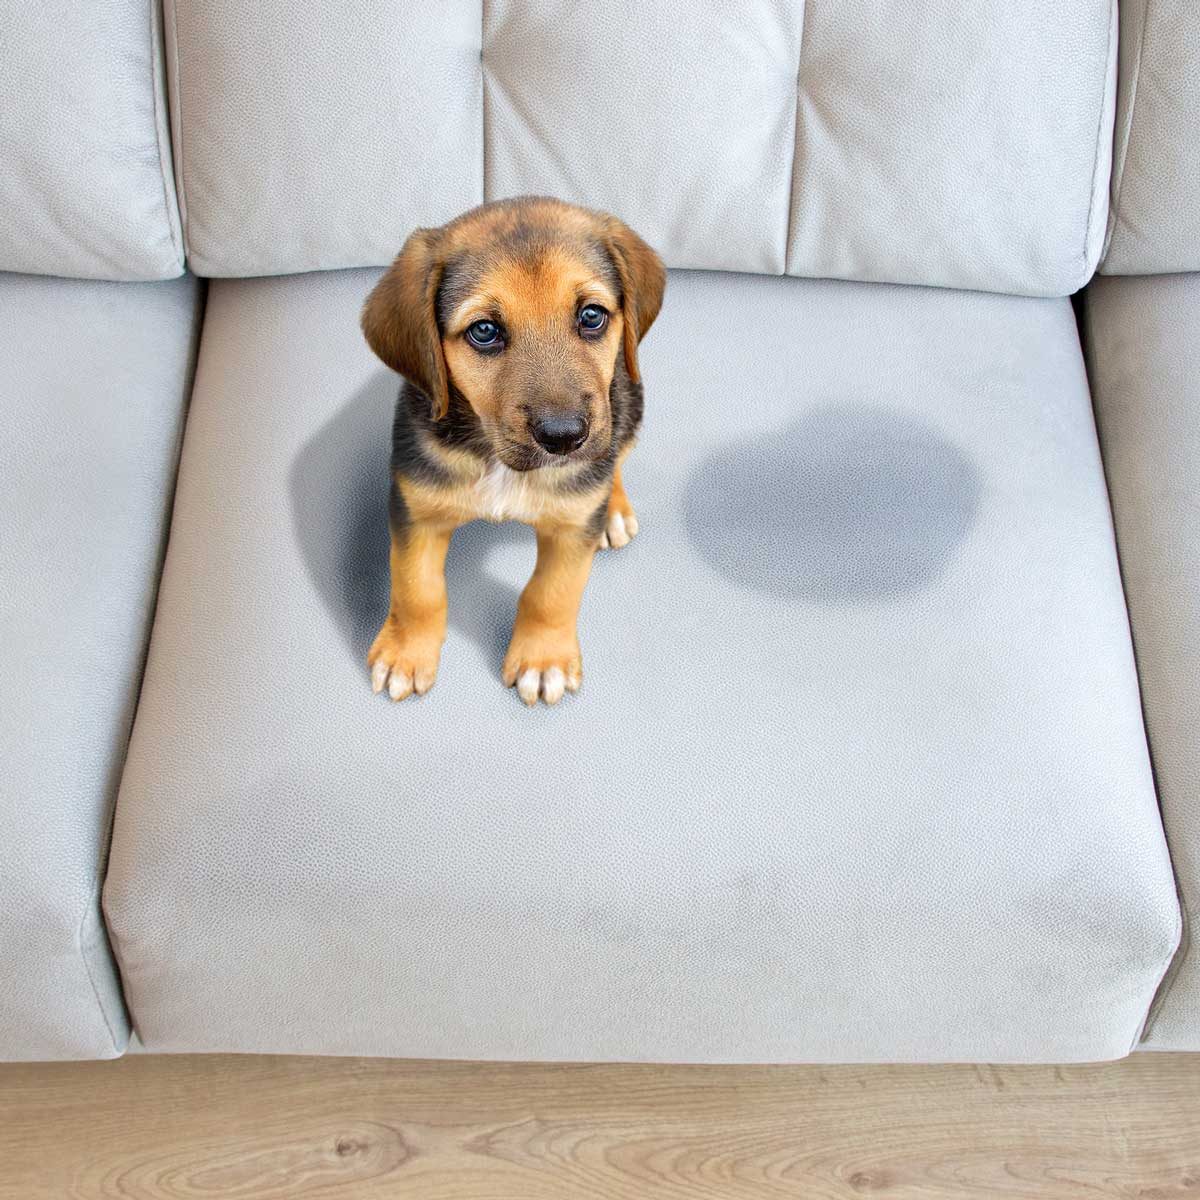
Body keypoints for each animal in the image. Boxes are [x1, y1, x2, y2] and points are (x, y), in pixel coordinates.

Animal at [360, 195, 672, 700]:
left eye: (591, 316)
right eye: (484, 331)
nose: (564, 437)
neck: (498, 461)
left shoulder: (572, 528)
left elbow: (551, 593)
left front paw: (542, 660)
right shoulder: (416, 509)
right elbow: (415, 589)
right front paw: (406, 653)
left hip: (628, 405)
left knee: (617, 456)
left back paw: (615, 510)